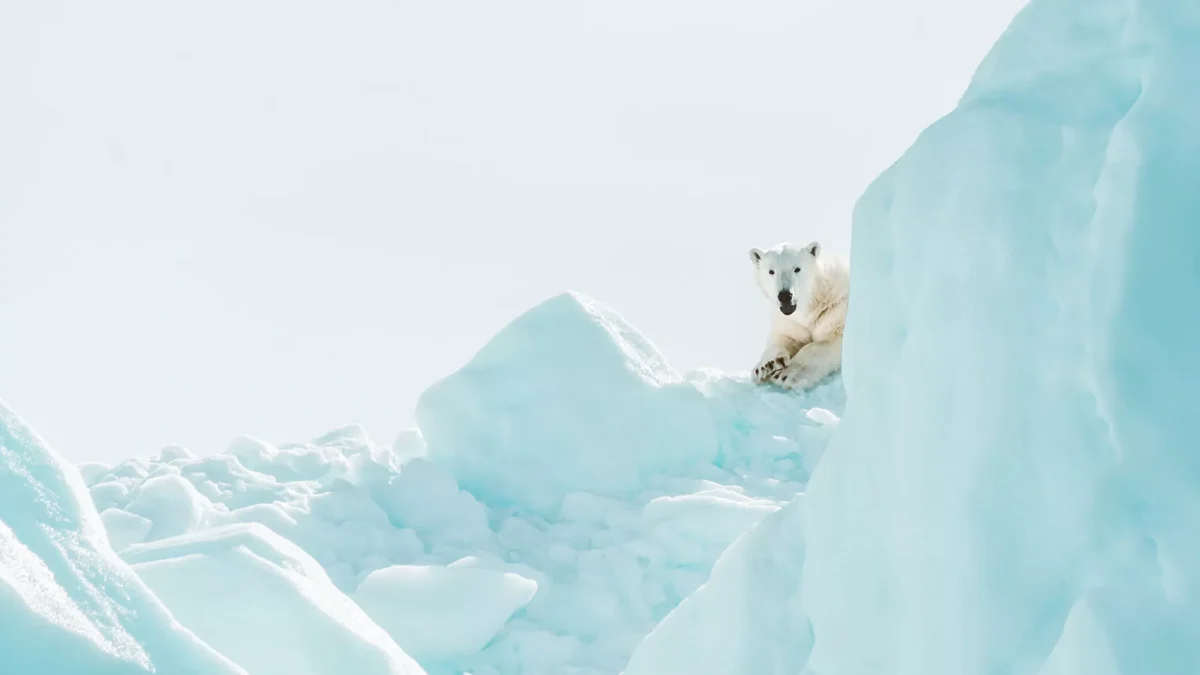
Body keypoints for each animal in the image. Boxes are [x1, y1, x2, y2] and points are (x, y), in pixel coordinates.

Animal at [748, 241, 850, 390]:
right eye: (771, 271)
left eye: (797, 269)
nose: (785, 296)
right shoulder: (791, 322)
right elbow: (787, 336)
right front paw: (766, 365)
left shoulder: (836, 308)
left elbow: (829, 340)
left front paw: (788, 375)